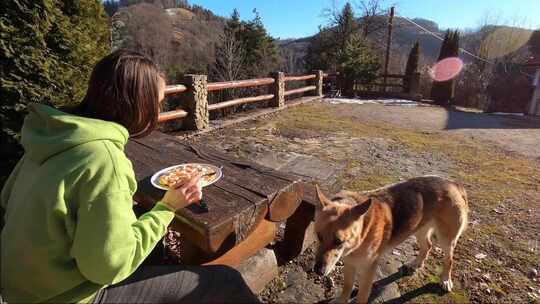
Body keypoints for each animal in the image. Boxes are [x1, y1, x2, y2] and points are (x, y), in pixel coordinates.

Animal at [312, 175, 468, 302]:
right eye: (319, 236)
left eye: (339, 241)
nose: (318, 271)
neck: (362, 232)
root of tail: (454, 183)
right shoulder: (350, 263)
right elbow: (347, 286)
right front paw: (341, 300)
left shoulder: (368, 270)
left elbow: (362, 295)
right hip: (418, 228)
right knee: (428, 245)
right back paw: (416, 263)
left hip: (446, 239)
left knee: (449, 260)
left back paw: (445, 279)